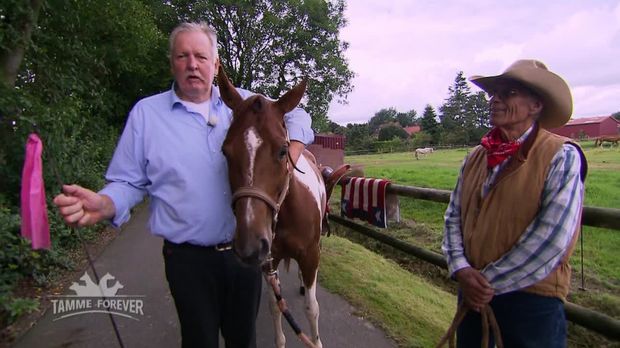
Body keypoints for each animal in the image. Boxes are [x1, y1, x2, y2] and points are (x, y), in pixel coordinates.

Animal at [217, 66, 326, 348]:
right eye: (225, 151)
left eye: (282, 150)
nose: (250, 245)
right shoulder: (270, 259)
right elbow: (275, 305)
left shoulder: (311, 255)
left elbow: (312, 308)